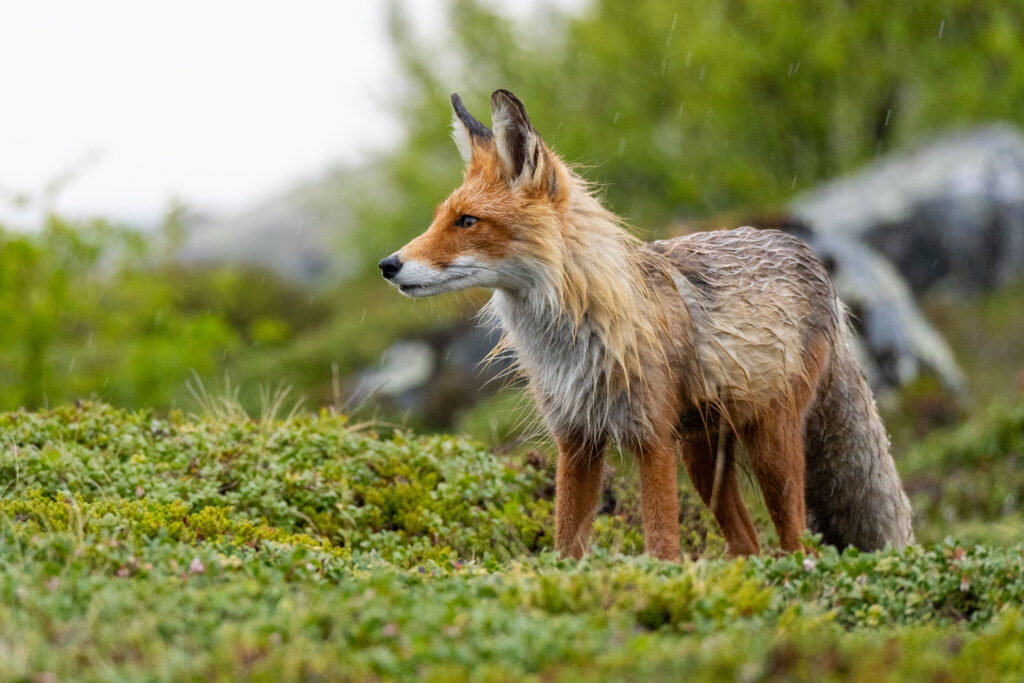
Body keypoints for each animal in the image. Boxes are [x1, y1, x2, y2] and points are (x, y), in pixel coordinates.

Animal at [379, 89, 915, 561]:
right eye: (439, 219)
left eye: (467, 222)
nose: (388, 264)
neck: (575, 334)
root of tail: (809, 256)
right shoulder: (576, 440)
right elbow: (566, 544)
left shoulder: (650, 436)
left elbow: (662, 548)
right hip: (702, 456)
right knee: (749, 544)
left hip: (770, 448)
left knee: (798, 545)